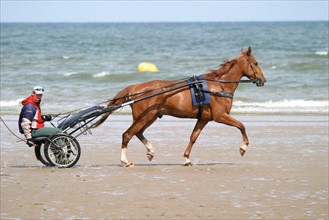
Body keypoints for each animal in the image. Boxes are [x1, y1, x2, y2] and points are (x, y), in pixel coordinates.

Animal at [91, 46, 266, 167]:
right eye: (256, 63)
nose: (263, 80)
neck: (217, 86)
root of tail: (134, 87)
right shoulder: (220, 116)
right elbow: (241, 126)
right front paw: (243, 147)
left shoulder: (204, 119)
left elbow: (193, 137)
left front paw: (186, 158)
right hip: (145, 116)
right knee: (127, 135)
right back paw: (125, 160)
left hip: (150, 116)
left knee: (138, 133)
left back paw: (150, 151)